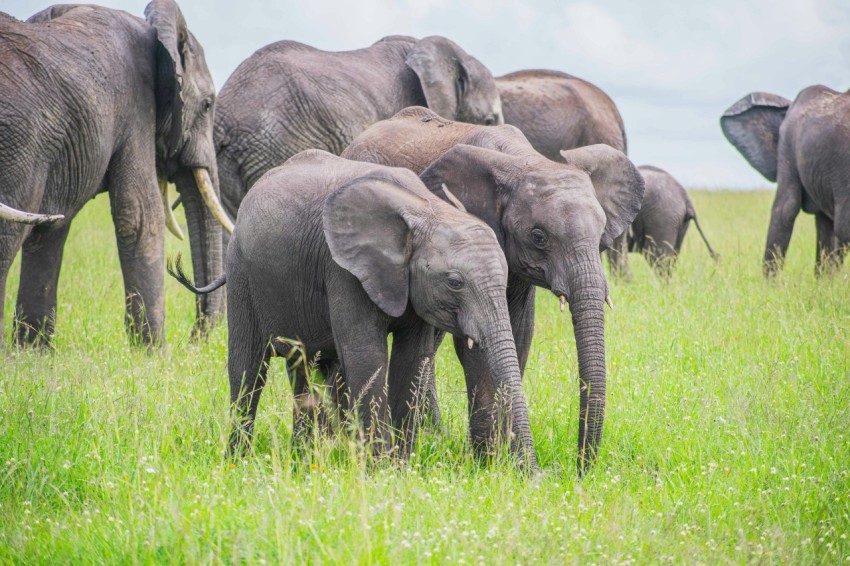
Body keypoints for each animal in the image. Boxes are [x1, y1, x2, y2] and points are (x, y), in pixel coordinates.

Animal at [0, 0, 232, 348]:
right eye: (207, 105)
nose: (195, 341)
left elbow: (53, 228)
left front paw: (31, 353)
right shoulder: (136, 107)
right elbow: (140, 216)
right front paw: (153, 354)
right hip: (19, 143)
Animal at [171, 150, 536, 470]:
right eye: (455, 282)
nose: (532, 476)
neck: (424, 209)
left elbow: (411, 359)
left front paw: (400, 469)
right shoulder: (342, 270)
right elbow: (367, 357)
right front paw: (382, 471)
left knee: (304, 369)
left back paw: (304, 460)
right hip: (242, 274)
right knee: (248, 370)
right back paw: (238, 462)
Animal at [340, 107, 644, 474]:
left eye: (601, 235)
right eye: (538, 236)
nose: (580, 470)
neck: (525, 161)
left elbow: (521, 334)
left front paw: (503, 458)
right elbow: (475, 345)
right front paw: (490, 461)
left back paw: (434, 433)